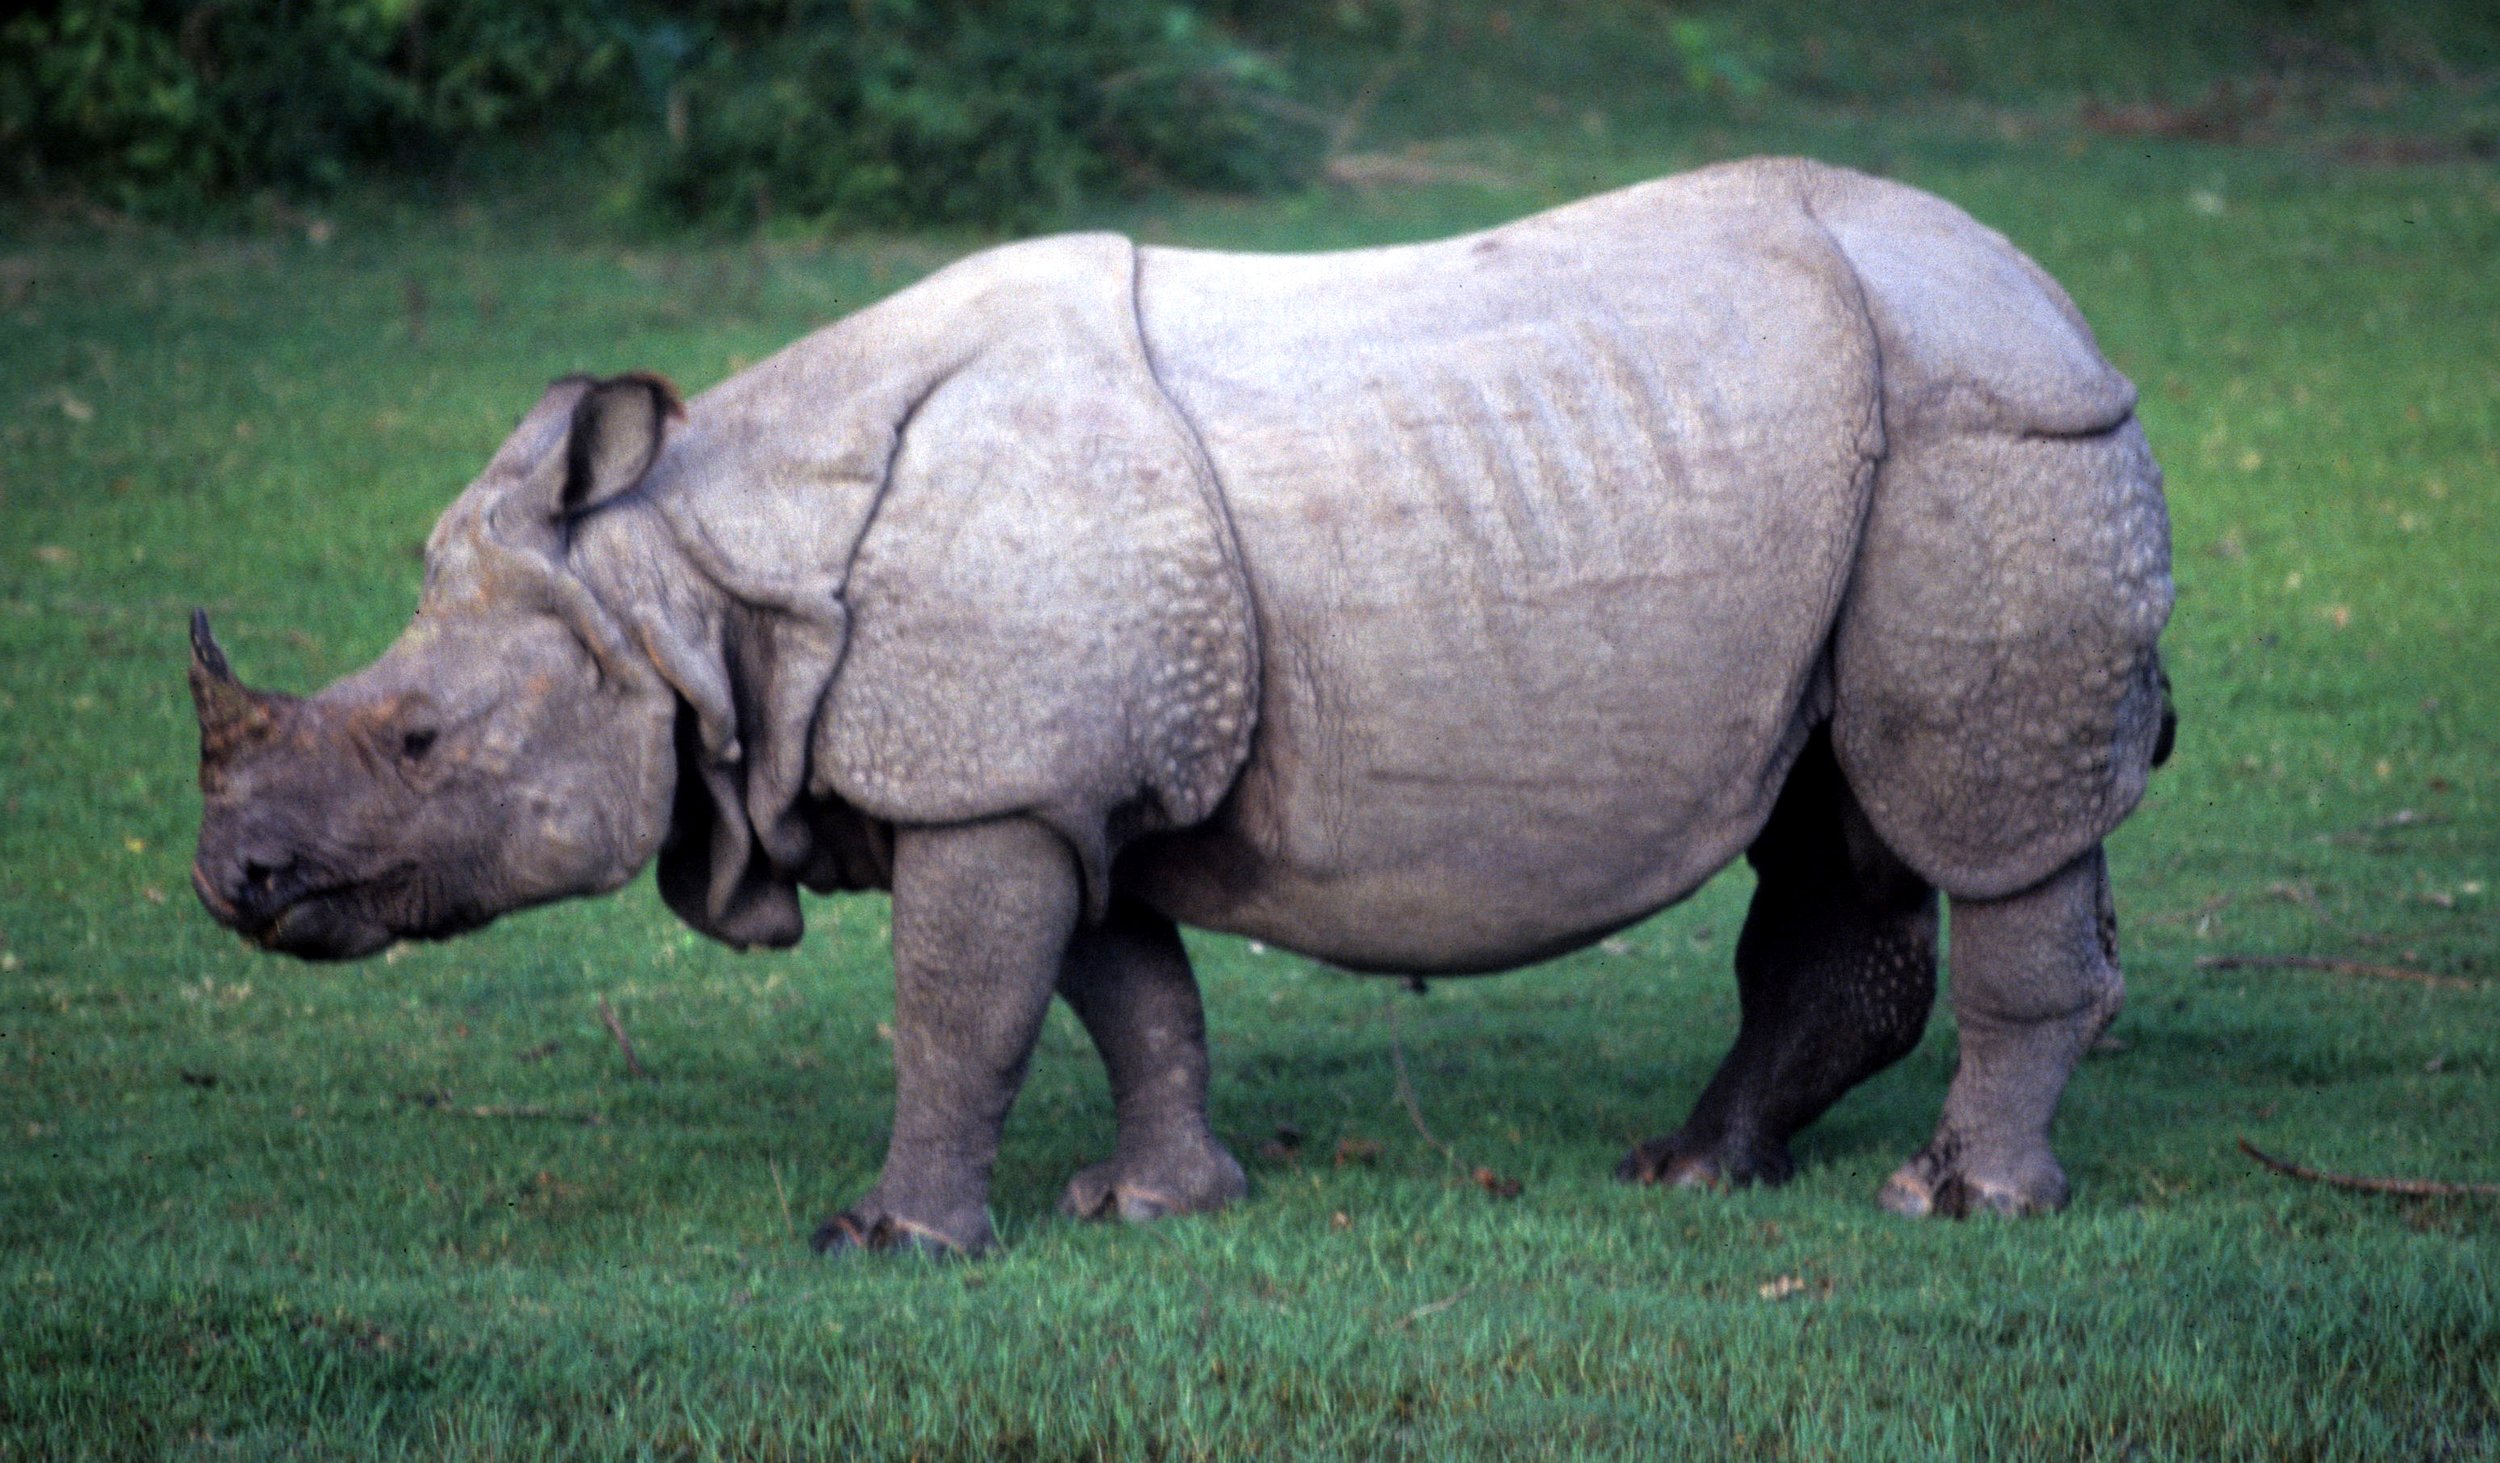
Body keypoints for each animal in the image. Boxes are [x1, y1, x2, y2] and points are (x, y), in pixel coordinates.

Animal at [189, 158, 2174, 1254]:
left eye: (417, 742)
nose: (234, 881)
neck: (689, 581)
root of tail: (2071, 309)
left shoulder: (991, 774)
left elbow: (959, 1011)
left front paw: (889, 1238)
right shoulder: (1057, 779)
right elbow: (1120, 989)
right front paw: (1150, 1205)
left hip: (1995, 441)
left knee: (1982, 819)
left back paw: (1956, 1204)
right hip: (1903, 451)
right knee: (1839, 821)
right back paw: (1691, 1173)